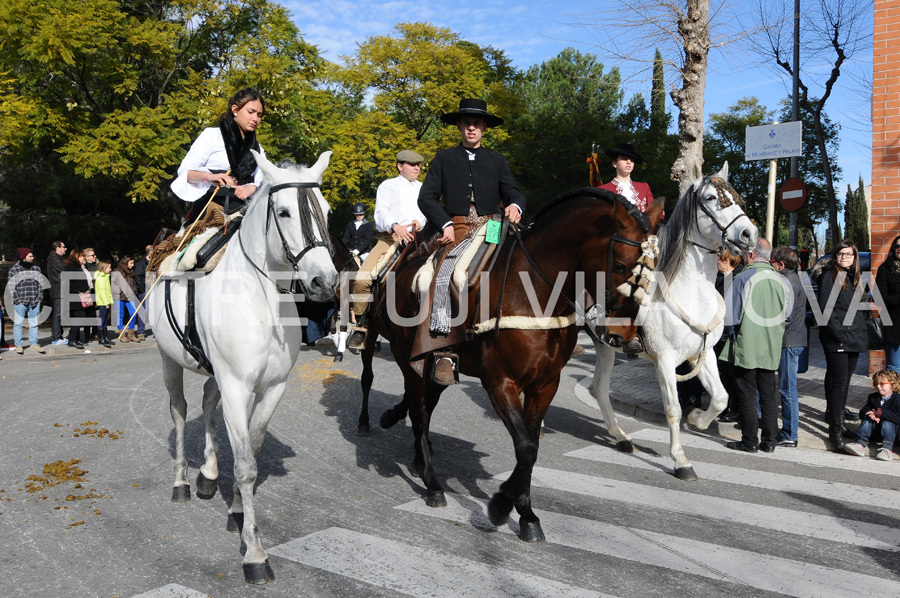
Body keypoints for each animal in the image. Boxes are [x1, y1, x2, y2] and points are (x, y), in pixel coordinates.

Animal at [149, 150, 340, 584]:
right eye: (284, 212)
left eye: (325, 210)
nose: (324, 281)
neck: (261, 300)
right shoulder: (237, 386)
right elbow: (247, 466)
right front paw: (254, 553)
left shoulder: (271, 388)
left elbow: (249, 449)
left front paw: (237, 510)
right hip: (170, 361)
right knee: (180, 411)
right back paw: (182, 482)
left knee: (207, 405)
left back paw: (207, 474)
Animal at [356, 189, 660, 544]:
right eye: (622, 265)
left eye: (653, 270)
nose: (625, 335)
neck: (535, 293)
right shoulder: (500, 383)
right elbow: (526, 447)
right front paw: (501, 505)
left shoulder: (545, 384)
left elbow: (531, 446)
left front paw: (526, 514)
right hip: (407, 356)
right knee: (413, 406)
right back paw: (431, 483)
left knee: (424, 406)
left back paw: (414, 451)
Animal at [588, 163, 756, 482]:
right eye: (712, 198)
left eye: (737, 197)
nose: (749, 234)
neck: (691, 290)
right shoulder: (665, 360)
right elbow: (673, 409)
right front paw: (680, 460)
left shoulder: (703, 354)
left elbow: (720, 398)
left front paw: (698, 419)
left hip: (604, 344)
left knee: (599, 387)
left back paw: (620, 437)